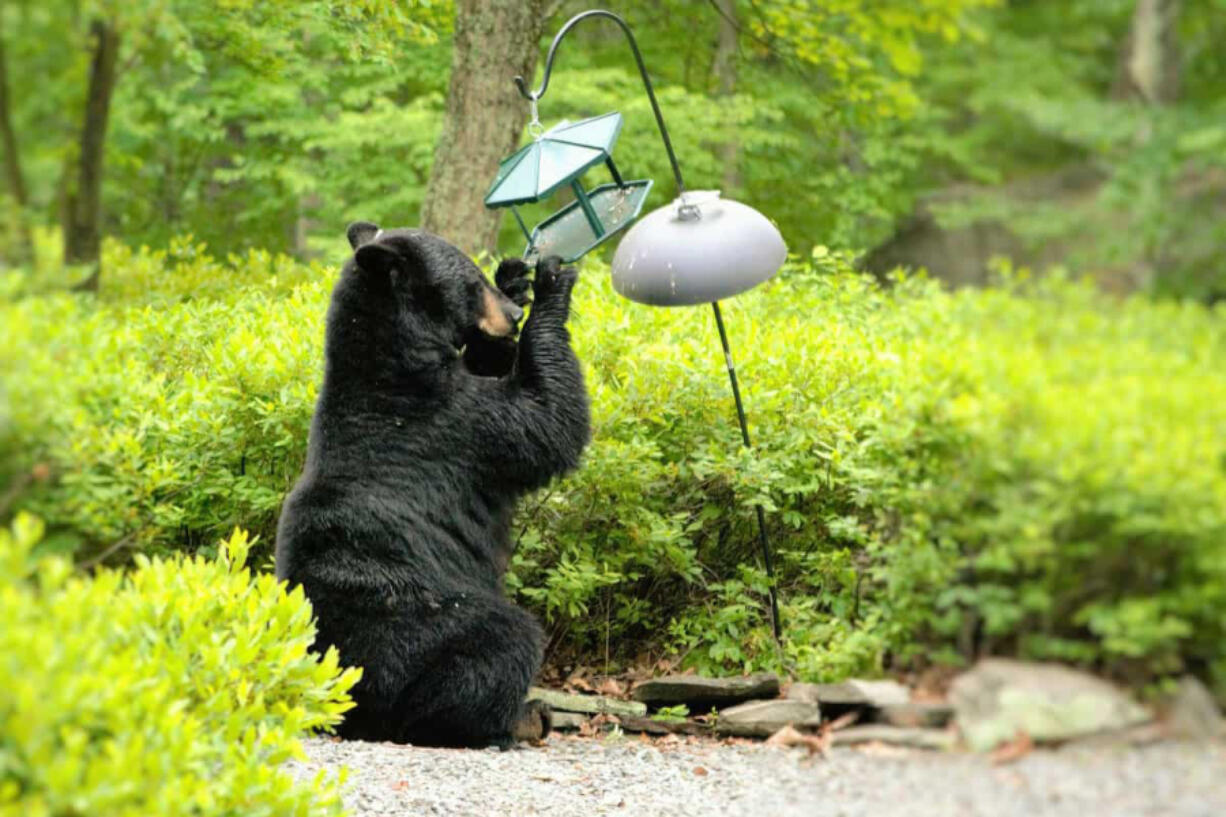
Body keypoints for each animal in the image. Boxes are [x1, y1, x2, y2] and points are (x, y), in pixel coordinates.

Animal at [277, 220, 588, 745]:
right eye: (470, 282)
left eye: (481, 274)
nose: (511, 315)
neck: (395, 363)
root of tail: (348, 702)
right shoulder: (455, 422)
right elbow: (545, 423)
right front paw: (551, 286)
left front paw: (517, 280)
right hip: (427, 621)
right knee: (501, 643)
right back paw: (517, 717)